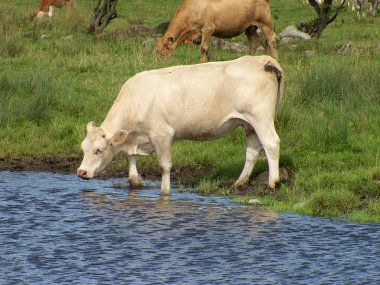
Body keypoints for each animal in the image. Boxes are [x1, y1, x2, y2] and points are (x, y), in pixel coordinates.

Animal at [77, 55, 284, 193]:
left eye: (99, 150)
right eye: (83, 148)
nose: (81, 171)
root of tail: (262, 60)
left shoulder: (162, 134)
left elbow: (164, 166)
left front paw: (165, 192)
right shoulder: (133, 137)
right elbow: (130, 157)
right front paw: (135, 181)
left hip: (261, 118)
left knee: (271, 143)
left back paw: (273, 182)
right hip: (249, 124)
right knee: (252, 151)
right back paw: (239, 182)